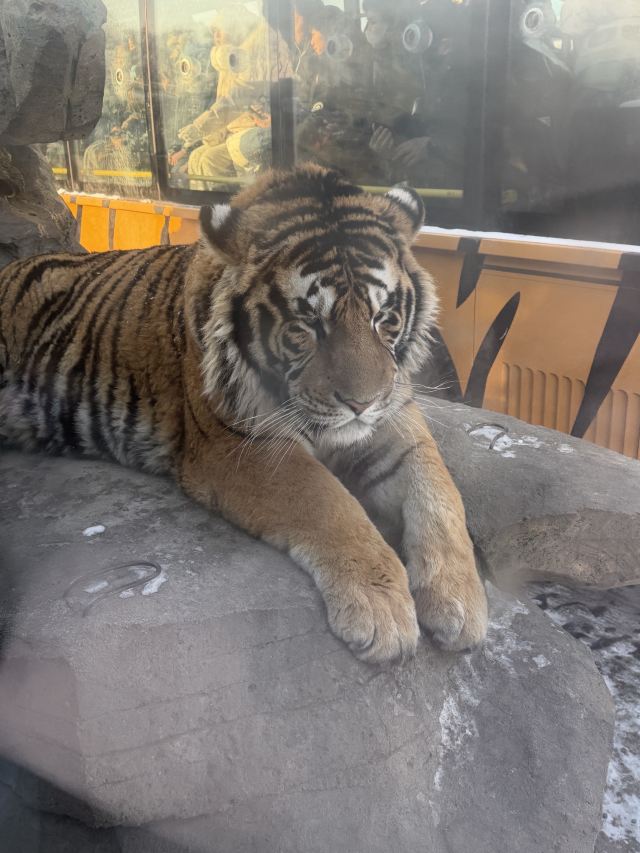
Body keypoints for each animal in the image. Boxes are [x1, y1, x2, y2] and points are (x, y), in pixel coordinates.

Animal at [0, 164, 487, 663]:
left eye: (384, 318)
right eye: (307, 325)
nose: (361, 404)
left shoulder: (396, 422)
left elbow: (440, 495)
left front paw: (460, 604)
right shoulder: (242, 445)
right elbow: (329, 503)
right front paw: (382, 609)